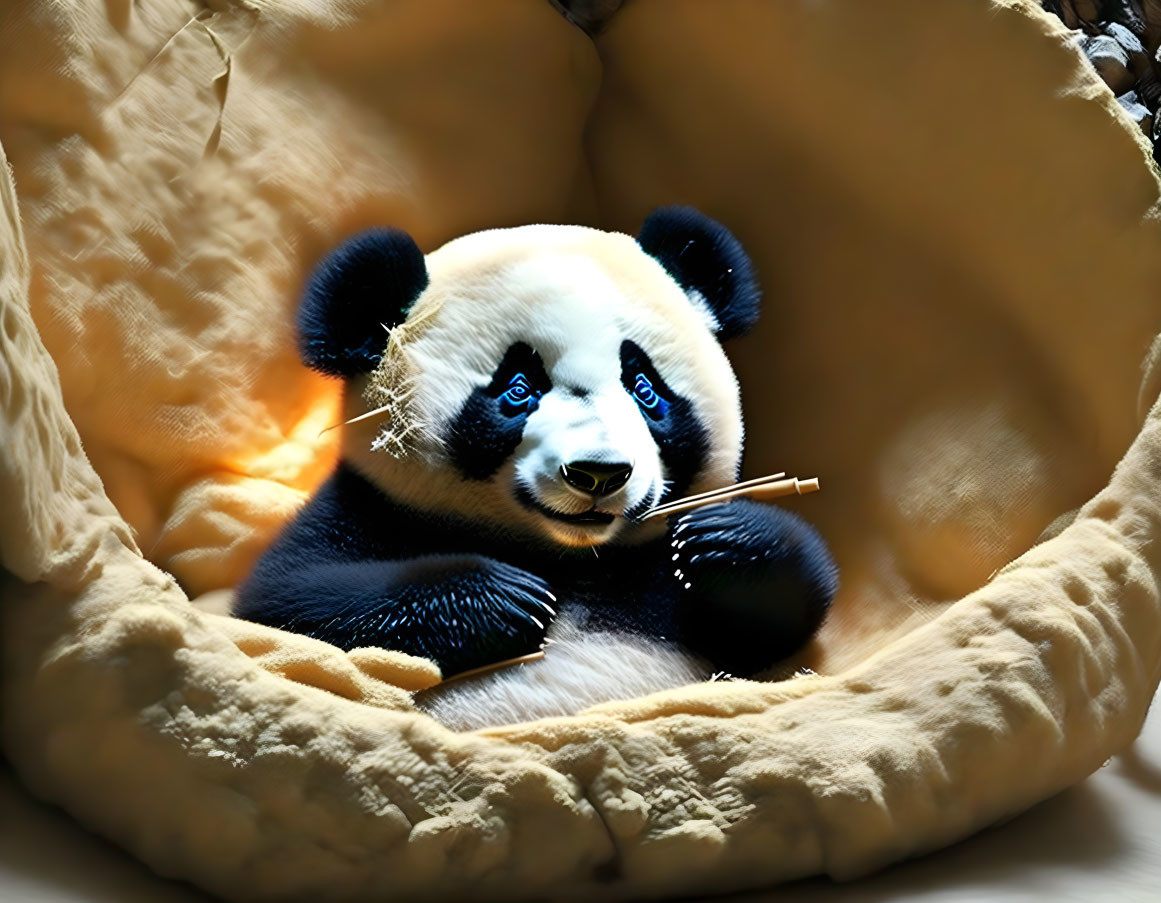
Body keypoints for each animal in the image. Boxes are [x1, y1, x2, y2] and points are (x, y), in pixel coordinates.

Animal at [235, 207, 835, 728]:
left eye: (644, 389)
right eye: (519, 390)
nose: (598, 473)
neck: (570, 558)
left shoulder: (662, 585)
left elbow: (780, 622)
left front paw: (724, 538)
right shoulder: (369, 506)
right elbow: (287, 607)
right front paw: (503, 600)